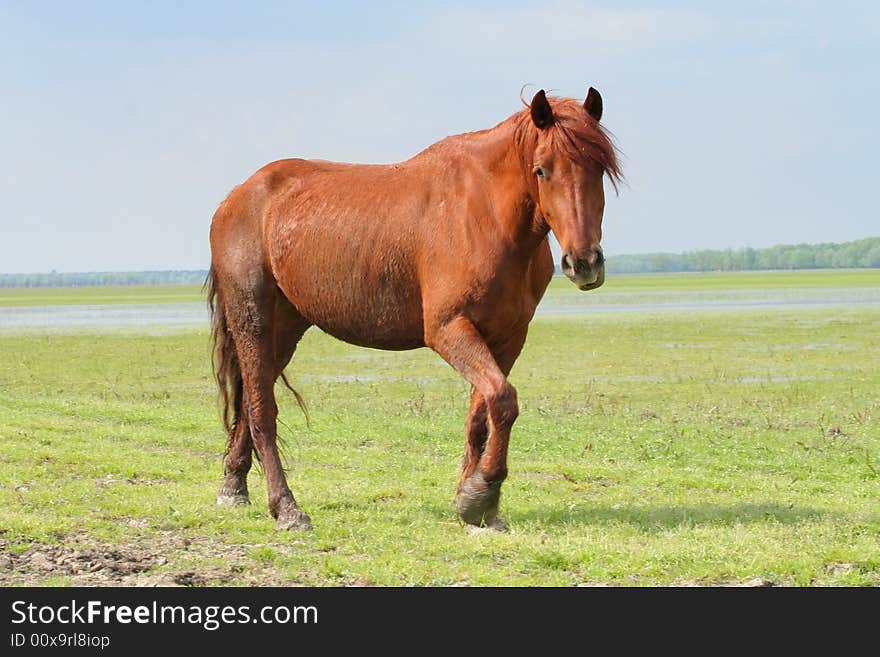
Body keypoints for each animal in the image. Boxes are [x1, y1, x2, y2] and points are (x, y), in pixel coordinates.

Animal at [208, 88, 620, 528]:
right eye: (541, 170)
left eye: (599, 169)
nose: (584, 263)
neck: (486, 213)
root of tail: (237, 196)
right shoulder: (449, 329)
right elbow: (503, 399)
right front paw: (482, 491)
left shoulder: (508, 338)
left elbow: (483, 413)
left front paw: (474, 502)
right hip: (253, 319)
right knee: (260, 409)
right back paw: (286, 507)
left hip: (286, 327)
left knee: (253, 399)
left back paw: (233, 486)